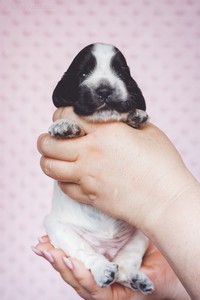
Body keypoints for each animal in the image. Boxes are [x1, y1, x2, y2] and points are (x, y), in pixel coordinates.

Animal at [45, 43, 155, 294]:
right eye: (83, 74)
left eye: (121, 73)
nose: (105, 90)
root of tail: (107, 249)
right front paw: (64, 125)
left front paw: (135, 115)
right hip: (58, 229)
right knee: (87, 254)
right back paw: (103, 270)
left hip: (142, 235)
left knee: (125, 263)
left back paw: (136, 278)